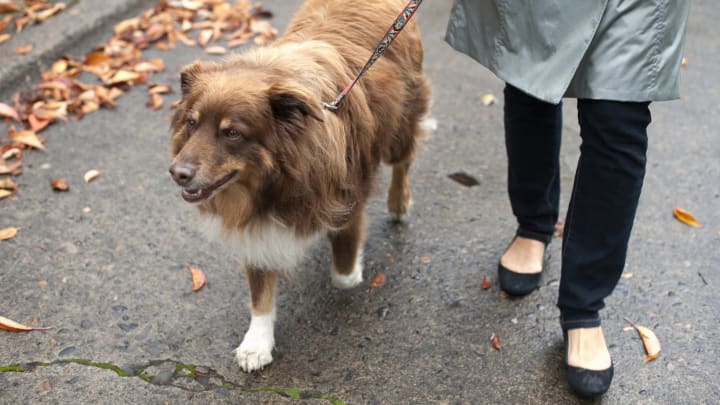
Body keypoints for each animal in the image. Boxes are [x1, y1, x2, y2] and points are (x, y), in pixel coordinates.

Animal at [169, 0, 430, 370]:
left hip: (401, 122)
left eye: (231, 132)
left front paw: (351, 269)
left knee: (403, 163)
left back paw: (399, 203)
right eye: (191, 123)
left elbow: (344, 274)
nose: (176, 172)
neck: (274, 182)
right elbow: (260, 292)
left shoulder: (347, 201)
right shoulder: (255, 225)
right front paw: (257, 343)